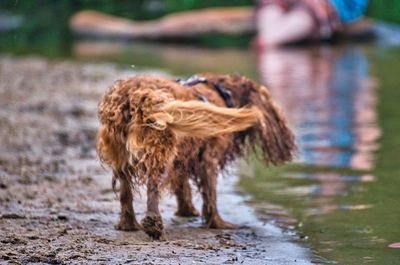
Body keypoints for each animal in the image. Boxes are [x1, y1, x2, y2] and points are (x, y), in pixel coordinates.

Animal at [96, 73, 296, 238]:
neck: (224, 93)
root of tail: (135, 95)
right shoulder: (208, 158)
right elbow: (211, 193)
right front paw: (217, 222)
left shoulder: (183, 156)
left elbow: (182, 185)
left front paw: (187, 210)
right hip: (160, 149)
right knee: (153, 186)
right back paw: (154, 225)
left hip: (121, 155)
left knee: (125, 192)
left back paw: (128, 224)